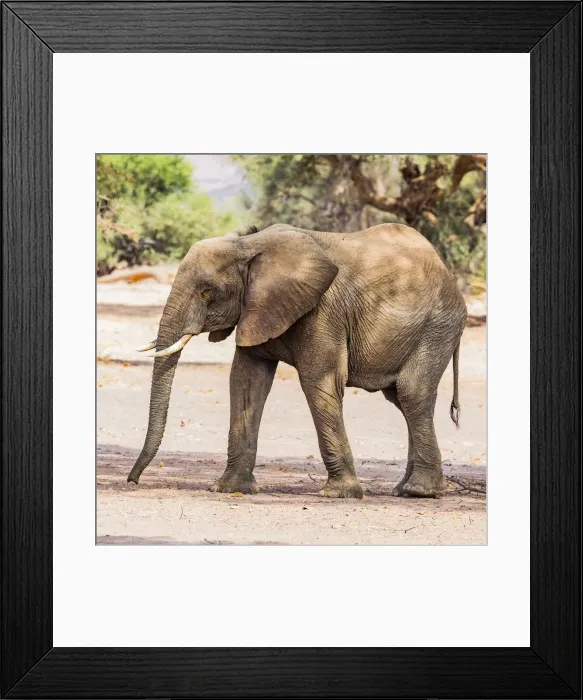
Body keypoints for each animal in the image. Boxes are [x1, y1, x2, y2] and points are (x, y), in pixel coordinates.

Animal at [127, 223, 467, 499]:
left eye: (206, 293)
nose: (132, 481)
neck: (249, 246)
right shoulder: (257, 309)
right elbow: (246, 382)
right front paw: (229, 489)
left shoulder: (323, 310)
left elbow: (319, 381)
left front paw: (338, 494)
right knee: (400, 398)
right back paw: (404, 490)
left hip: (437, 325)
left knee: (411, 392)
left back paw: (421, 491)